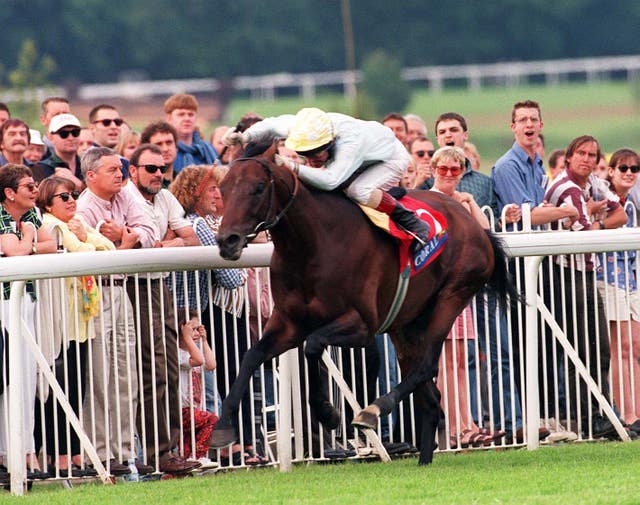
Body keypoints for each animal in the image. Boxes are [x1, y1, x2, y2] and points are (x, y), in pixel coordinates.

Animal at [214, 144, 516, 462]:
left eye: (258, 188)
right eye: (222, 188)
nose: (227, 240)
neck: (312, 244)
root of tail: (477, 226)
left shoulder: (362, 326)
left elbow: (313, 345)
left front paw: (328, 412)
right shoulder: (289, 323)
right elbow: (252, 356)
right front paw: (222, 428)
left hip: (453, 295)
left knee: (425, 367)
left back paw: (372, 411)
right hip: (405, 323)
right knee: (430, 394)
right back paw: (423, 459)